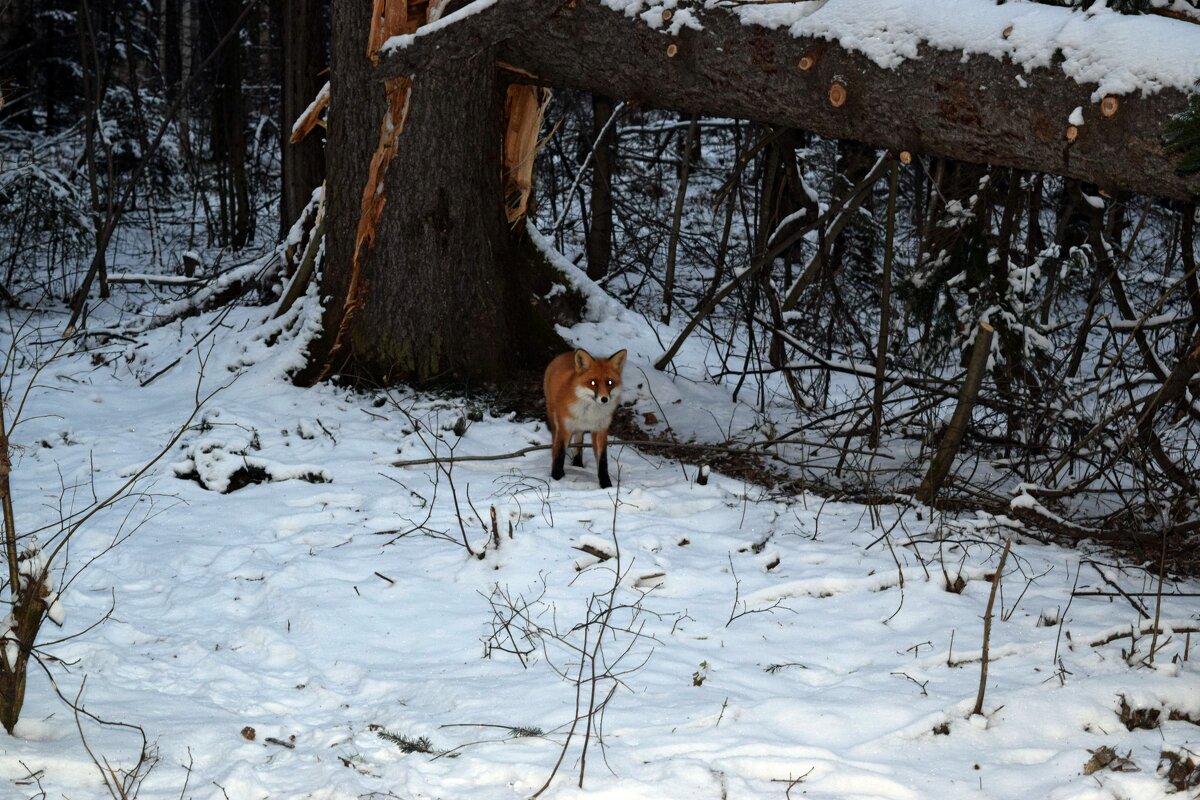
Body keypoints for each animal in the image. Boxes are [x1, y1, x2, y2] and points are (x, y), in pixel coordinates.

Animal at [544, 347, 628, 489]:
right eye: (593, 383)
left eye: (610, 382)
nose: (604, 399)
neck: (590, 414)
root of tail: (568, 353)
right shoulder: (565, 427)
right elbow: (560, 453)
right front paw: (557, 477)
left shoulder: (601, 430)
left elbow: (603, 461)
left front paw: (606, 484)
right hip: (555, 420)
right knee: (555, 443)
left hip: (578, 428)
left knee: (579, 440)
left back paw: (578, 463)